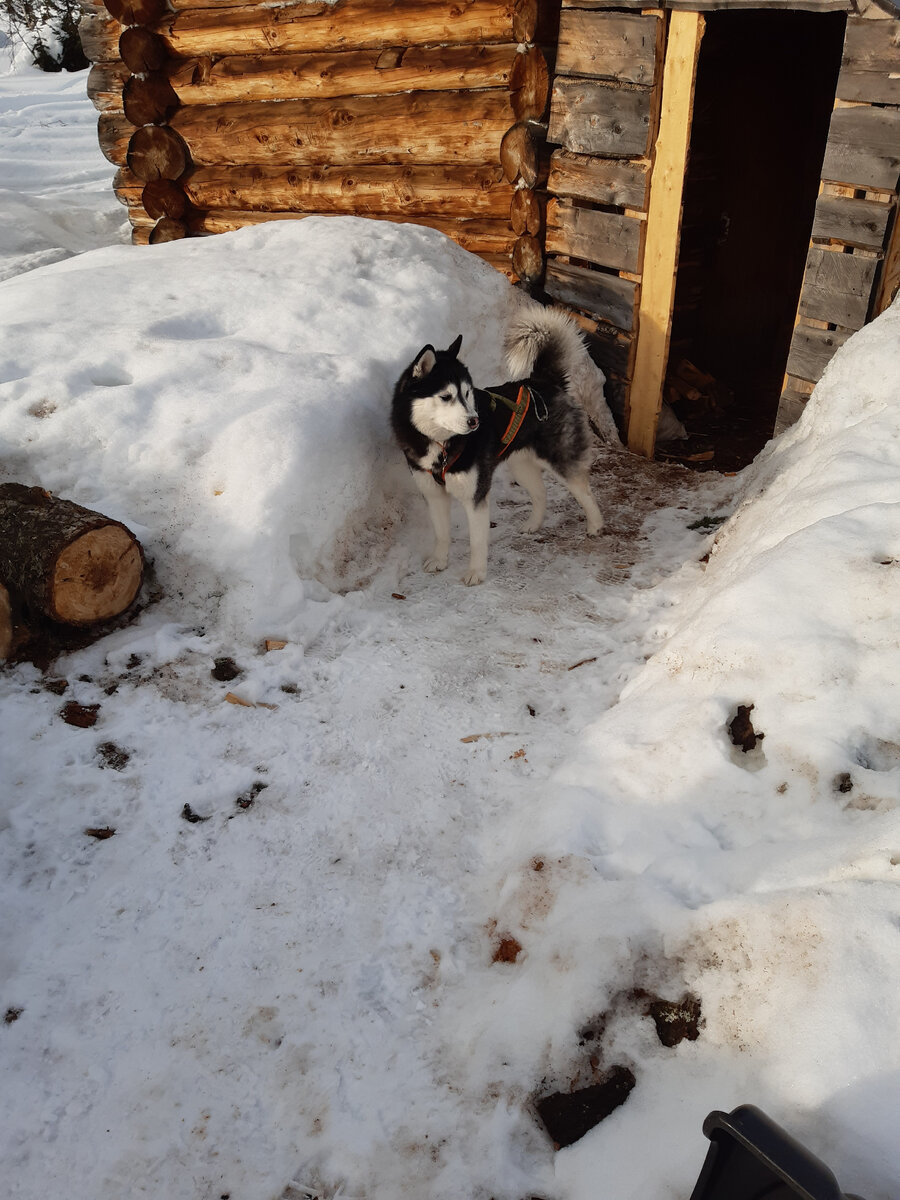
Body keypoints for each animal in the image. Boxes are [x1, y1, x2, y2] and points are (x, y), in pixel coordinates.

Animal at [391, 302, 609, 583]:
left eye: (468, 393)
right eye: (446, 396)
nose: (474, 421)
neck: (441, 444)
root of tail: (542, 380)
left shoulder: (475, 496)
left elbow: (476, 541)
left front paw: (476, 572)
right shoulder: (433, 493)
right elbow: (441, 533)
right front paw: (440, 560)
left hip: (560, 459)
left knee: (585, 491)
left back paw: (595, 525)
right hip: (521, 464)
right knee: (541, 493)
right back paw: (533, 524)